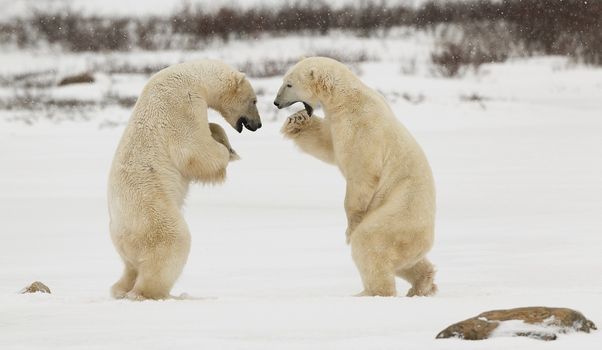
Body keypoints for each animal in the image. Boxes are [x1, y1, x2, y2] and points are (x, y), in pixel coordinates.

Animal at [109, 58, 258, 300]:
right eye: (254, 100)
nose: (258, 124)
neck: (194, 76)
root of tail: (120, 234)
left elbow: (210, 130)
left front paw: (224, 140)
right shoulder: (181, 104)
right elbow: (194, 149)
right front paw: (227, 153)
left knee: (130, 267)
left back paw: (121, 289)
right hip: (152, 211)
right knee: (173, 243)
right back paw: (158, 293)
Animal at [274, 57, 436, 298]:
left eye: (289, 84)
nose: (276, 102)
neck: (345, 97)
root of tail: (428, 238)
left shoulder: (362, 126)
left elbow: (362, 173)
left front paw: (350, 227)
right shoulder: (338, 122)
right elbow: (328, 145)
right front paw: (297, 120)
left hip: (398, 216)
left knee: (370, 243)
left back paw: (368, 293)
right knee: (406, 262)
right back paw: (422, 284)